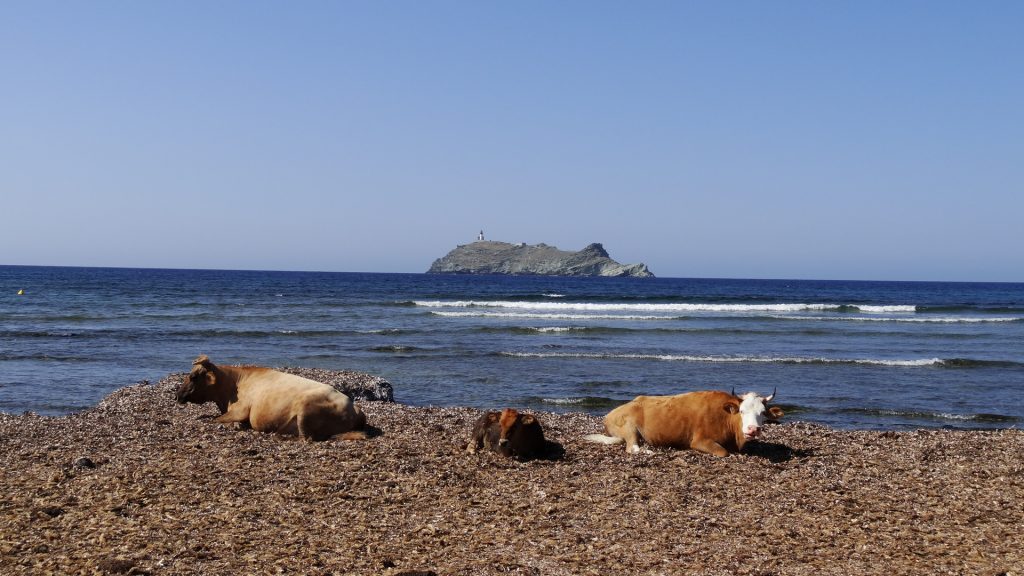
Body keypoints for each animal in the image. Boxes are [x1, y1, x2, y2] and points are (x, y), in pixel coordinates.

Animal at [175, 354, 368, 438]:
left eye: (193, 376)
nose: (177, 395)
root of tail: (356, 409)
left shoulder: (240, 410)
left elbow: (215, 419)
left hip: (305, 408)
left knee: (306, 437)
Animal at [585, 387, 782, 455]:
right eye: (741, 411)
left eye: (763, 413)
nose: (752, 429)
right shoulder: (700, 440)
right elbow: (723, 452)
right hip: (629, 427)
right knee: (632, 447)